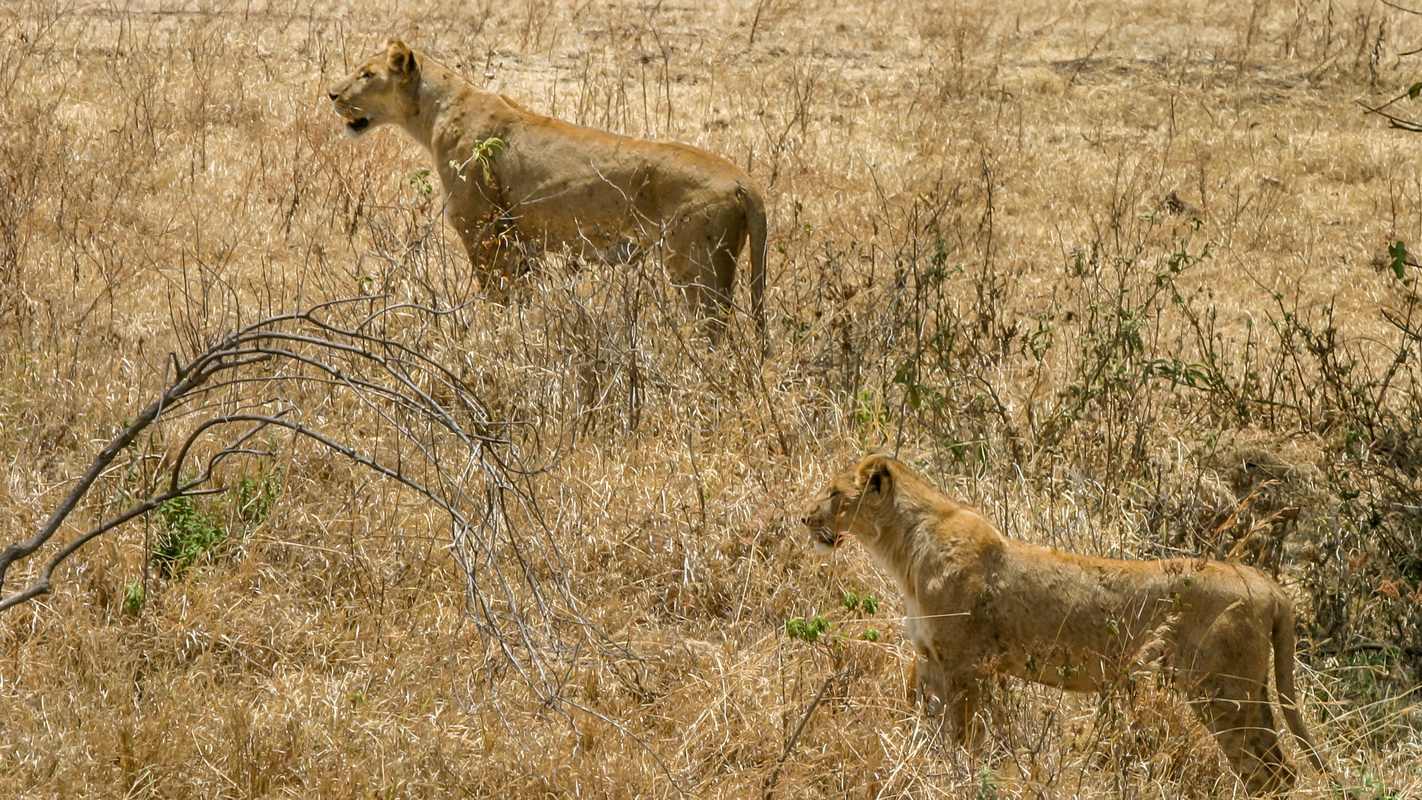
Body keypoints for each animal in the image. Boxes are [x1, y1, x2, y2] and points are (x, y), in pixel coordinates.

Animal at [325, 39, 767, 338]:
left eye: (366, 74)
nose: (332, 94)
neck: (437, 108)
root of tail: (745, 180)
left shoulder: (484, 230)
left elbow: (497, 296)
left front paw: (496, 340)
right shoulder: (522, 241)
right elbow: (523, 297)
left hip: (696, 267)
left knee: (714, 332)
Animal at [802, 454, 1319, 795]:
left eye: (834, 494)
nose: (804, 517)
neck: (902, 550)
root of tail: (1267, 583)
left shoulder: (966, 667)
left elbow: (965, 741)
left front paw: (962, 778)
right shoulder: (931, 661)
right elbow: (928, 731)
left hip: (1221, 692)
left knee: (1268, 771)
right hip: (1247, 691)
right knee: (1278, 768)